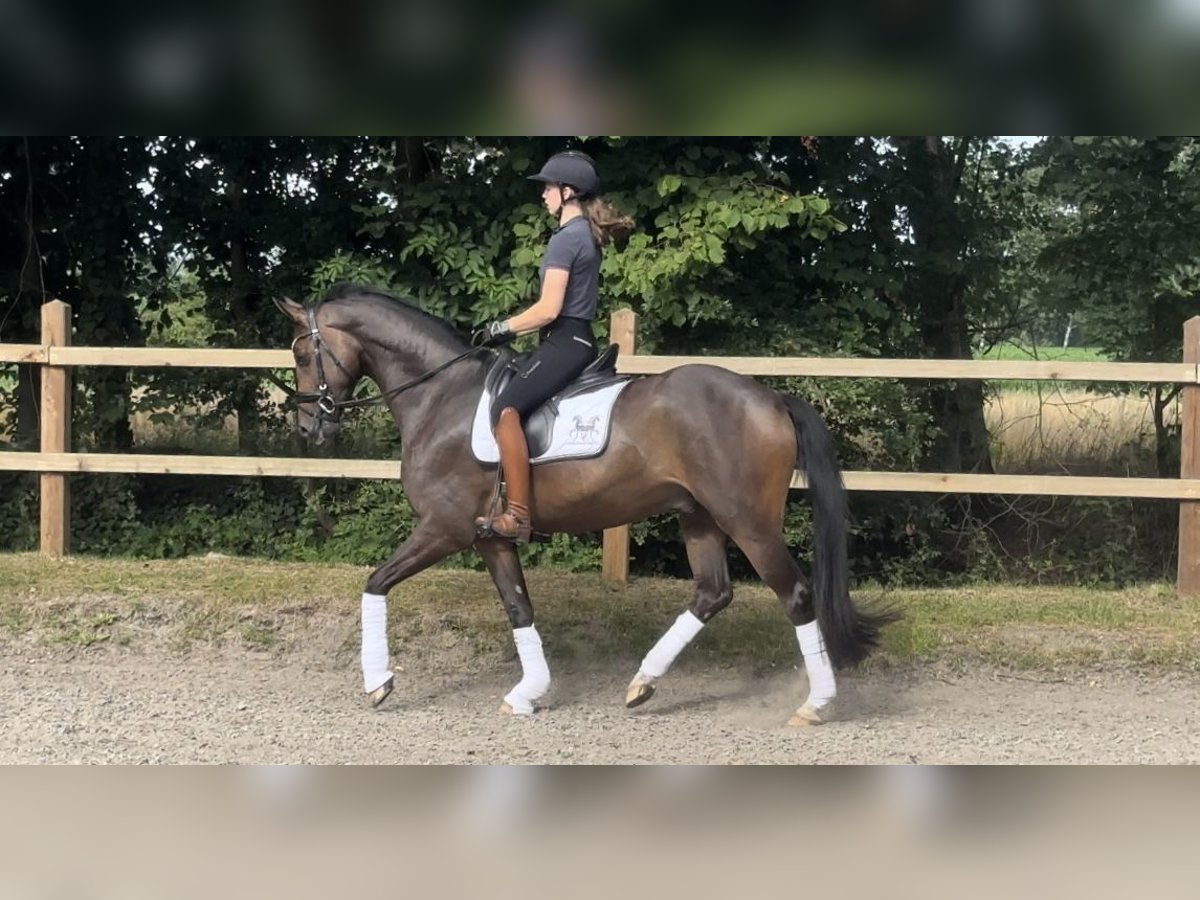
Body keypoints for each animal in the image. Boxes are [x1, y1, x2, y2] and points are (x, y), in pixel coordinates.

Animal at [272, 286, 892, 724]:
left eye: (302, 351)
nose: (309, 428)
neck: (439, 397)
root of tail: (770, 396)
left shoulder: (444, 528)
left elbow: (375, 582)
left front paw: (378, 682)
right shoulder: (490, 536)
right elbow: (519, 608)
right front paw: (528, 693)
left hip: (748, 520)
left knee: (795, 595)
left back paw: (816, 704)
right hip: (698, 516)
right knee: (713, 593)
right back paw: (643, 683)